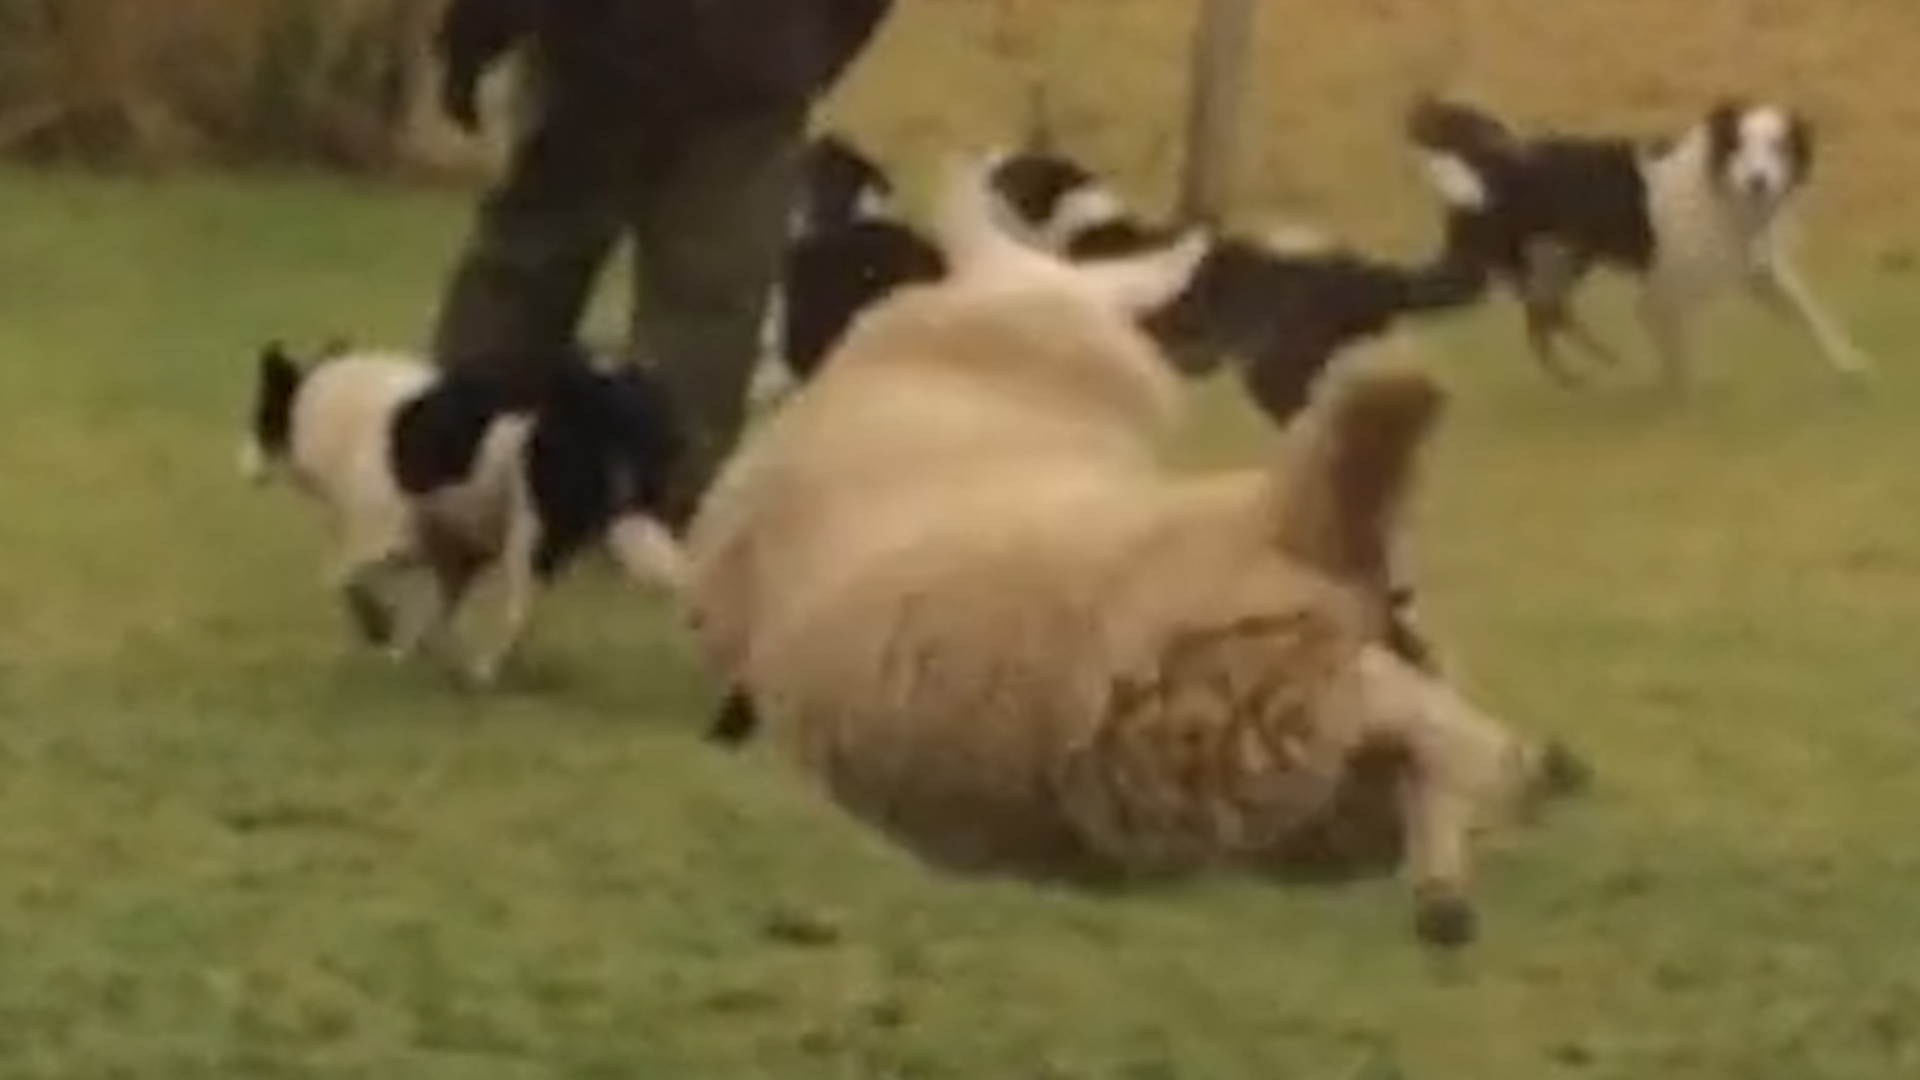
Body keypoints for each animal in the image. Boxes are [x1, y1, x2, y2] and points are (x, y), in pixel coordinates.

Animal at [1413, 93, 1873, 386]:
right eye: (1739, 146)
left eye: (1780, 147)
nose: (1758, 181)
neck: (1719, 190)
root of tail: (1487, 168)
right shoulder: (1661, 291)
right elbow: (1676, 353)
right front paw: (1682, 394)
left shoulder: (1758, 273)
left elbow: (1812, 315)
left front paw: (1851, 365)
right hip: (1536, 264)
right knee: (1545, 320)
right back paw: (1596, 371)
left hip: (1561, 262)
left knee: (1547, 320)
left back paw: (1592, 369)